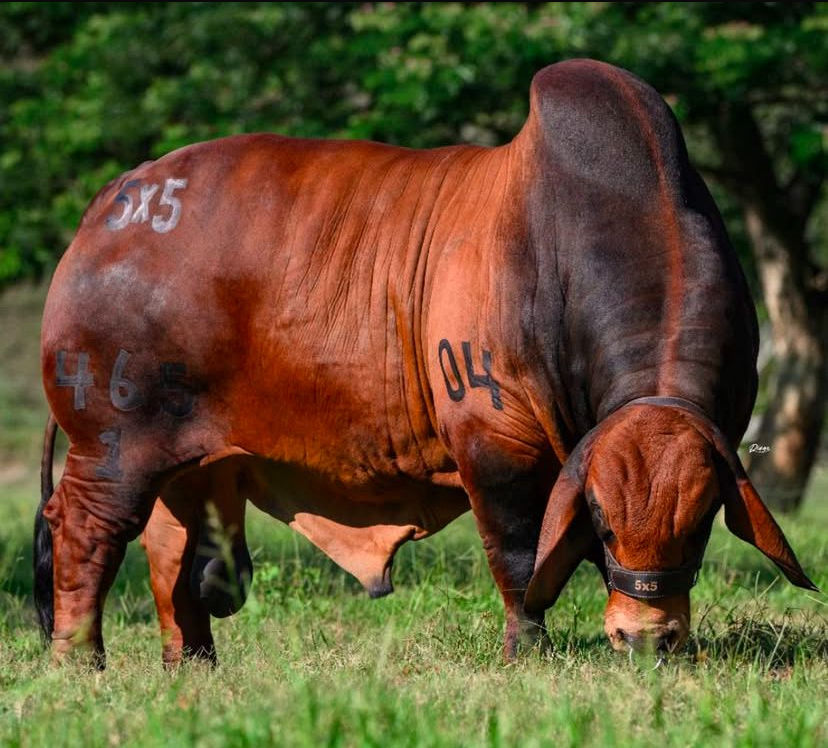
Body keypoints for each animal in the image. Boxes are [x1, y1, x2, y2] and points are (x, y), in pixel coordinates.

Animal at [34, 58, 816, 668]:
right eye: (599, 514)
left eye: (704, 516)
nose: (648, 639)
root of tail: (112, 202)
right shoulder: (494, 441)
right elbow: (520, 555)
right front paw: (529, 652)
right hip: (112, 444)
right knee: (84, 532)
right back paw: (81, 660)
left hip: (186, 463)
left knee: (175, 551)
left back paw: (192, 662)